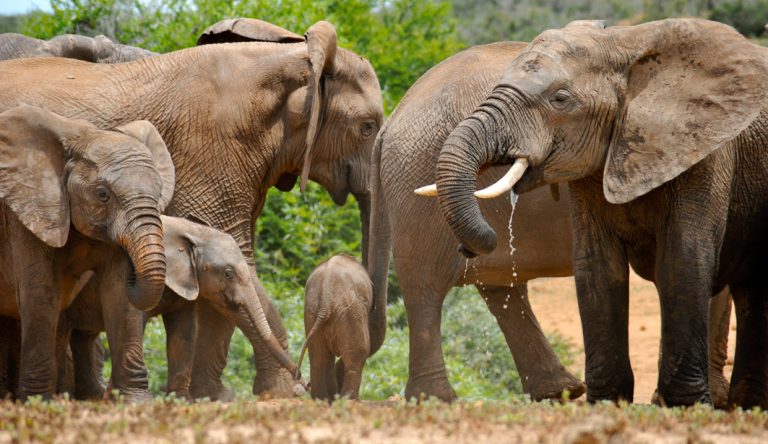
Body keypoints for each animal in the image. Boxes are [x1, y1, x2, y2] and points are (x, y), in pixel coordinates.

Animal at [298, 253, 374, 402]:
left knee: (318, 356)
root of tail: (326, 302)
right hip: (349, 312)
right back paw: (349, 400)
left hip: (311, 313)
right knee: (359, 351)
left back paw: (322, 400)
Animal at [376, 40, 736, 406]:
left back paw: (560, 391)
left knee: (497, 286)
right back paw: (438, 399)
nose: (466, 247)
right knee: (425, 287)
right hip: (415, 181)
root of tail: (394, 115)